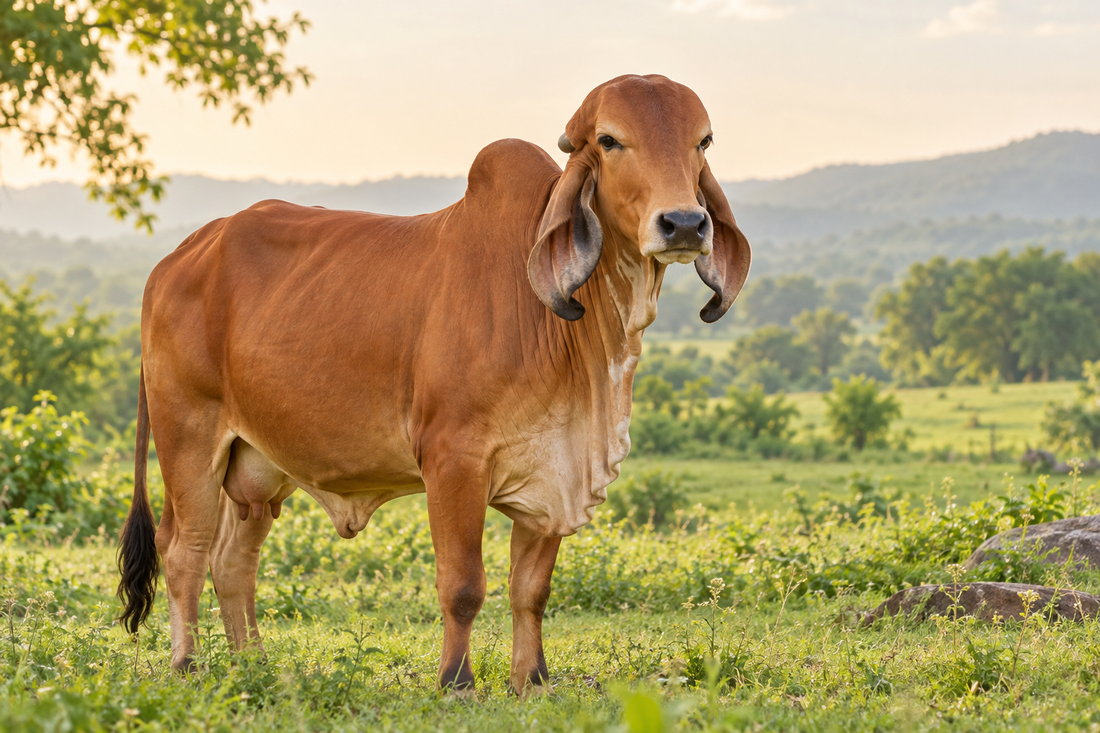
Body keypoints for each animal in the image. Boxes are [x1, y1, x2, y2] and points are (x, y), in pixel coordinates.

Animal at [116, 74, 751, 696]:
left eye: (703, 142)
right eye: (611, 140)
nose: (685, 223)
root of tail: (173, 261)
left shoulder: (553, 471)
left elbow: (531, 591)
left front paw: (532, 681)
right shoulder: (453, 459)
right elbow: (463, 585)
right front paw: (456, 680)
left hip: (259, 464)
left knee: (232, 562)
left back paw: (254, 667)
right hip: (189, 439)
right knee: (185, 551)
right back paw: (186, 666)